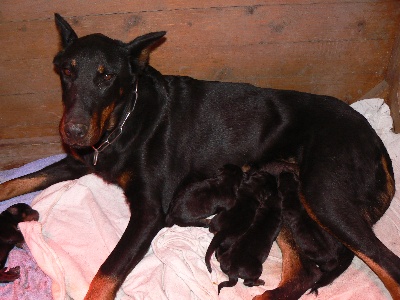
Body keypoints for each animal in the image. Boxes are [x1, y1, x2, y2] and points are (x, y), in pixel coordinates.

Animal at [0, 12, 398, 298]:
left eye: (107, 76)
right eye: (66, 71)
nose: (74, 132)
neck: (124, 119)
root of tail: (375, 141)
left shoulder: (149, 212)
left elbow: (105, 273)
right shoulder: (77, 161)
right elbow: (17, 181)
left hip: (324, 196)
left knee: (387, 264)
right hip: (287, 197)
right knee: (301, 273)